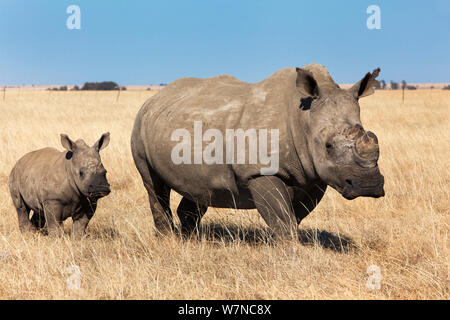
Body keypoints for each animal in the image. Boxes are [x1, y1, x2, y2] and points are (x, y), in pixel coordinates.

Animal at [132, 63, 384, 238]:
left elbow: (293, 217)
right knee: (155, 187)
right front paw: (289, 256)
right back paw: (168, 240)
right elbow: (283, 218)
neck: (303, 118)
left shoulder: (313, 175)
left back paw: (191, 240)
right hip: (140, 126)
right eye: (328, 145)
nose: (368, 185)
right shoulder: (260, 171)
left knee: (199, 188)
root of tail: (152, 100)